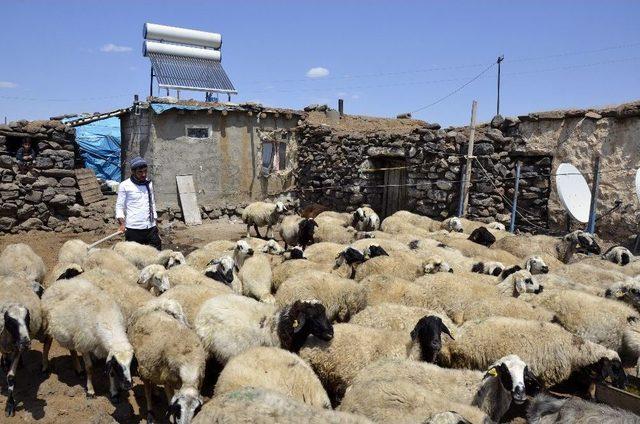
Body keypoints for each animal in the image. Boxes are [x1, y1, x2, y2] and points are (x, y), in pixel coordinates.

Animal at [0, 274, 43, 418]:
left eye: (27, 318)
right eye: (9, 321)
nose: (26, 343)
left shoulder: (17, 349)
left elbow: (11, 377)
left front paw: (9, 405)